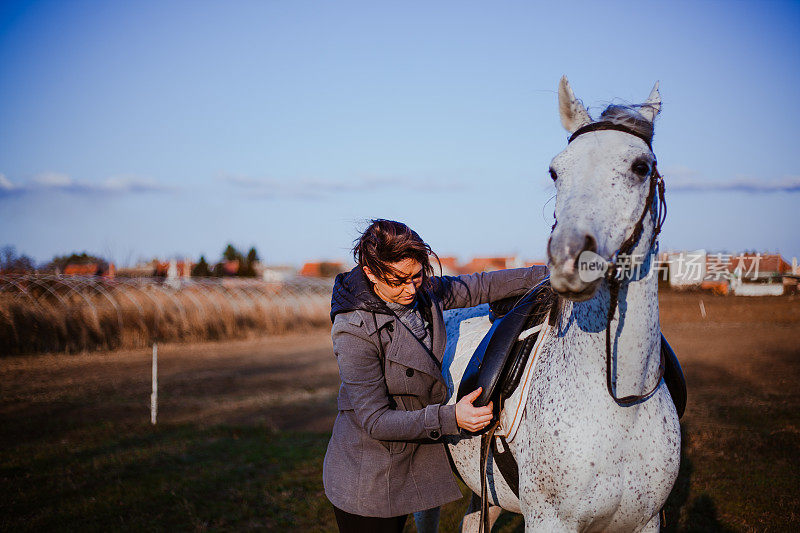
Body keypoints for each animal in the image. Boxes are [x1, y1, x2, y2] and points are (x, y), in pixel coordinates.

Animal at [438, 76, 680, 532]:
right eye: (555, 171)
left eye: (640, 167)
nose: (569, 257)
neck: (619, 407)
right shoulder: (550, 520)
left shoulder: (646, 521)